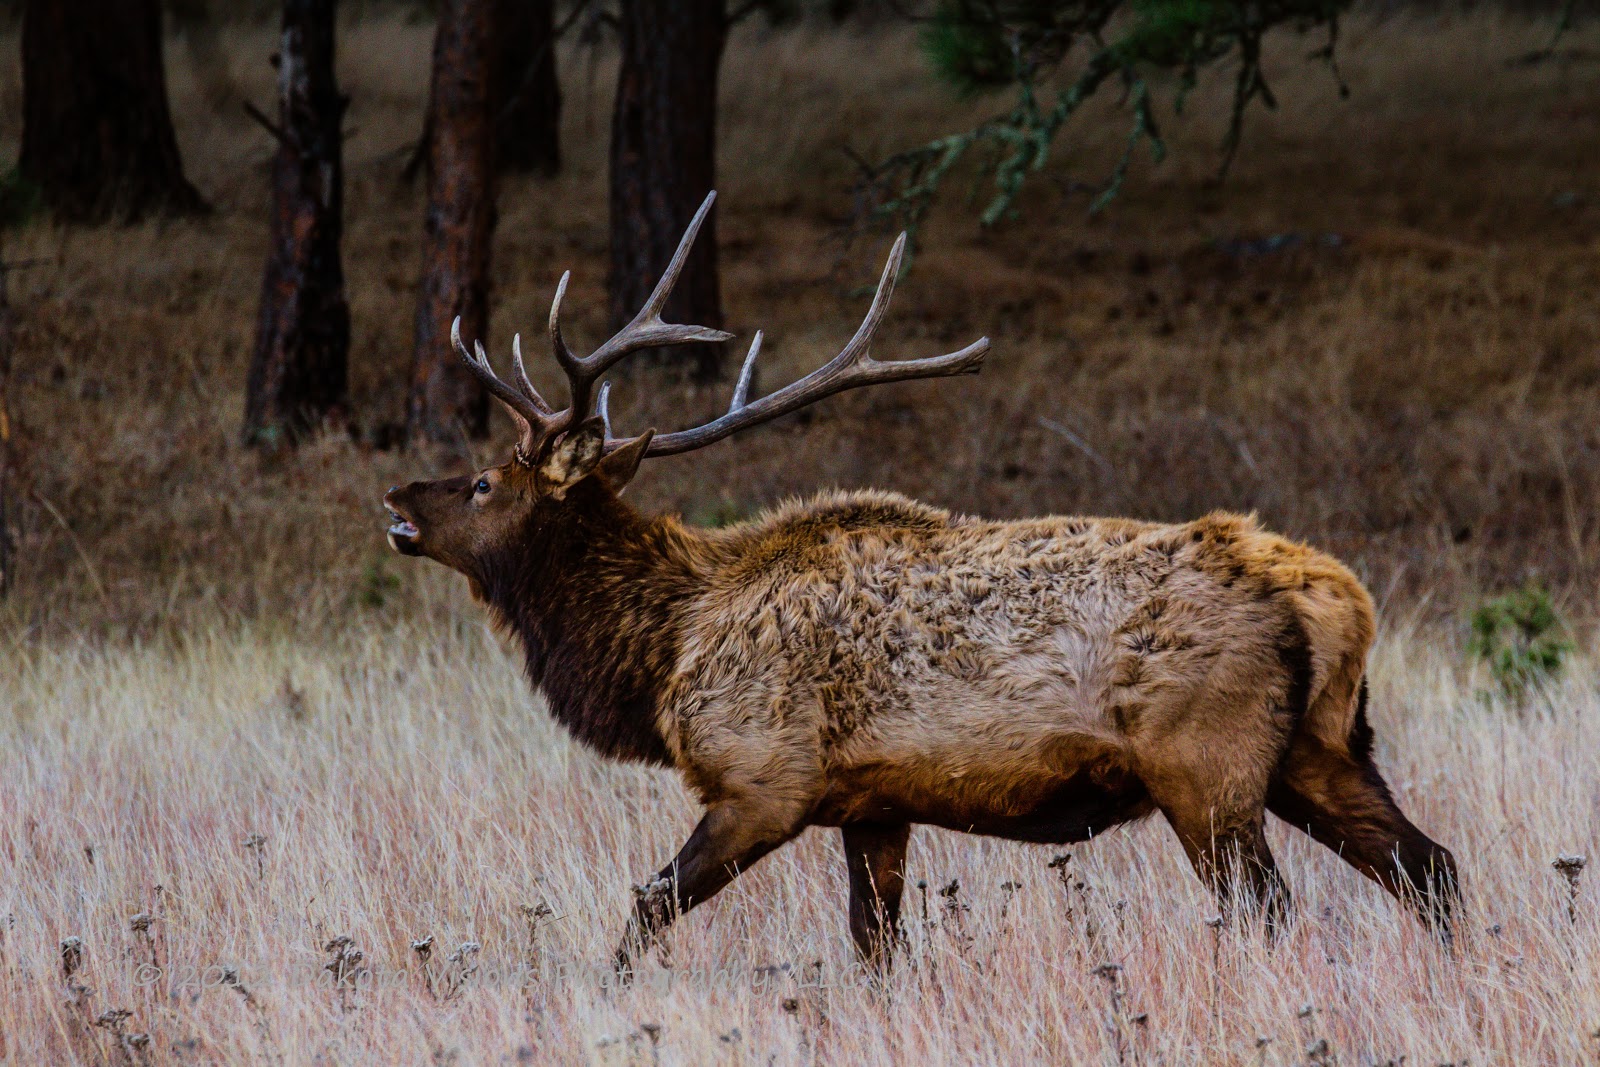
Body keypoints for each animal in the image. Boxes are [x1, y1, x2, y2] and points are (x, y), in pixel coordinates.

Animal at [383, 192, 1458, 974]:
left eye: (484, 482)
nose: (397, 494)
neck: (662, 654)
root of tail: (1335, 598)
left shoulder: (764, 779)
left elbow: (647, 904)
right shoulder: (872, 803)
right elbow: (878, 947)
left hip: (1209, 761)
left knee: (1272, 906)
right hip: (1323, 749)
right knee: (1430, 865)